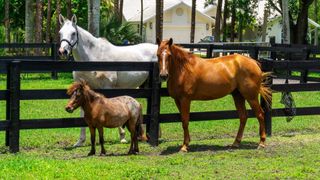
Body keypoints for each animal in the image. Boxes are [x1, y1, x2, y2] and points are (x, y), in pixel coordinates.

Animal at [58, 14, 158, 147]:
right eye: (60, 33)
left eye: (73, 33)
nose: (62, 51)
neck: (93, 57)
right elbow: (82, 112)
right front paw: (80, 141)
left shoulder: (108, 87)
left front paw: (122, 136)